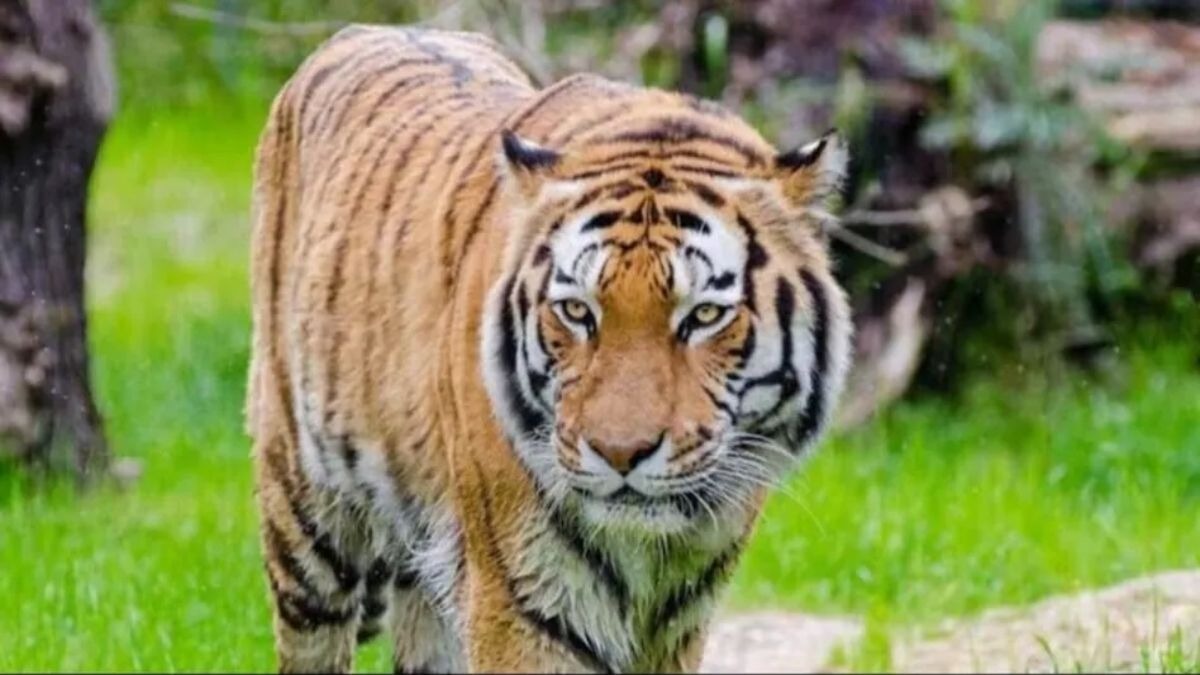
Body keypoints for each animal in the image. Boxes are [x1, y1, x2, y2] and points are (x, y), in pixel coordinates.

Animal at [247, 23, 852, 674]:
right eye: (578, 311)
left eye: (705, 315)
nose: (620, 454)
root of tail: (369, 29)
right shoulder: (524, 599)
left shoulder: (681, 617)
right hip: (306, 520)